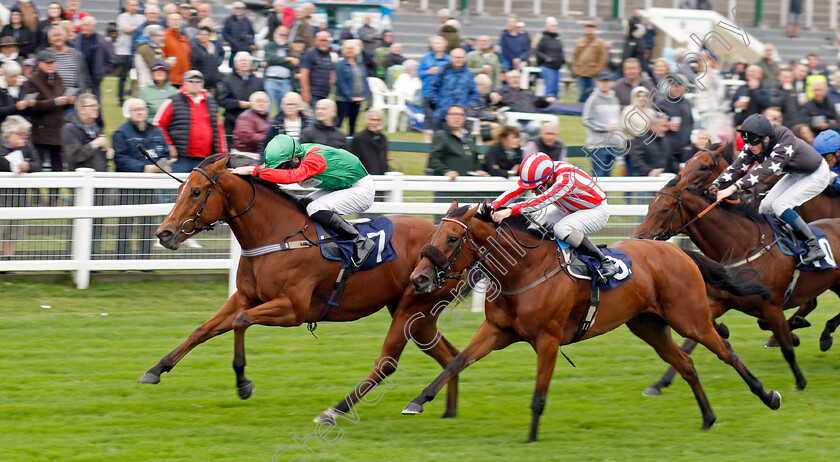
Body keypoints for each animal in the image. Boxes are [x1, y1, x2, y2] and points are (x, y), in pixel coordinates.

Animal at [143, 154, 466, 418]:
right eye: (180, 190)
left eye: (196, 192)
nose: (164, 233)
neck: (277, 236)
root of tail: (456, 237)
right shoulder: (245, 297)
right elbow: (203, 329)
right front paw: (156, 369)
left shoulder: (293, 310)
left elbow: (240, 321)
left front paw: (243, 384)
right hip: (418, 315)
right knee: (450, 355)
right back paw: (445, 411)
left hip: (413, 308)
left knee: (391, 362)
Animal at [400, 202, 780, 444]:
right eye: (433, 236)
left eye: (452, 238)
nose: (418, 278)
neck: (523, 271)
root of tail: (678, 251)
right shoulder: (497, 331)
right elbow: (457, 363)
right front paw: (417, 401)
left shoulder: (548, 339)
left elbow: (539, 394)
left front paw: (532, 437)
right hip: (649, 326)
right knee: (686, 363)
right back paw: (708, 417)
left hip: (691, 319)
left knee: (726, 351)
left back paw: (768, 396)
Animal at [632, 144, 840, 394]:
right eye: (649, 206)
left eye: (663, 209)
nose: (638, 239)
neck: (745, 244)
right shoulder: (720, 302)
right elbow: (691, 341)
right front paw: (660, 383)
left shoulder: (772, 306)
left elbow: (787, 346)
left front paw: (799, 381)